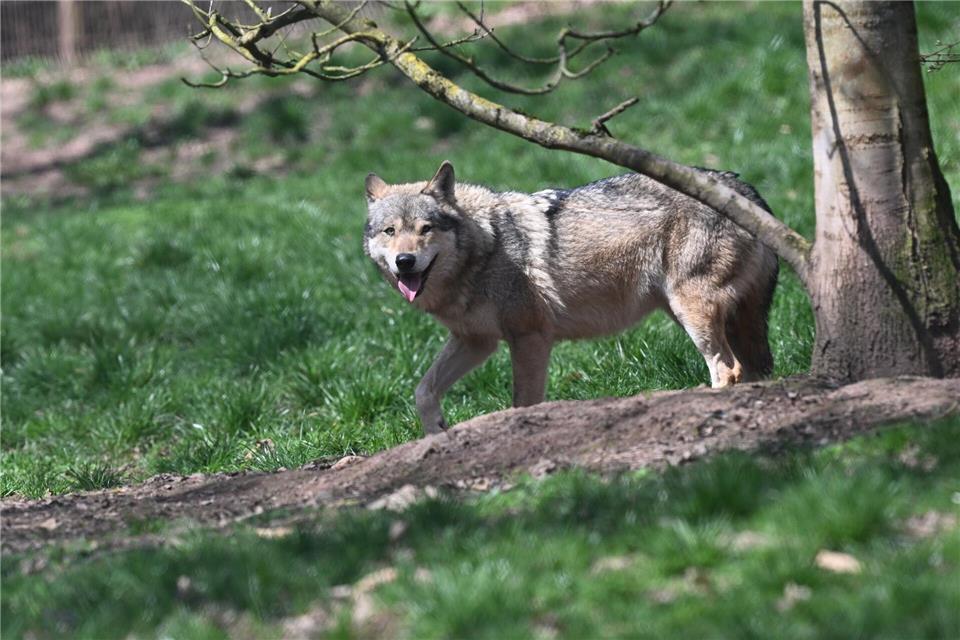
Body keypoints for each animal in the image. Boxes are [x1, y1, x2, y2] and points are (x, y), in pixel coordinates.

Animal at [363, 161, 779, 434]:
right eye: (390, 231)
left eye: (425, 229)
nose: (405, 261)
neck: (485, 247)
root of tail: (747, 191)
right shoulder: (476, 341)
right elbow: (423, 391)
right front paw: (437, 432)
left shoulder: (529, 337)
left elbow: (523, 402)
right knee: (749, 370)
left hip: (691, 313)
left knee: (727, 369)